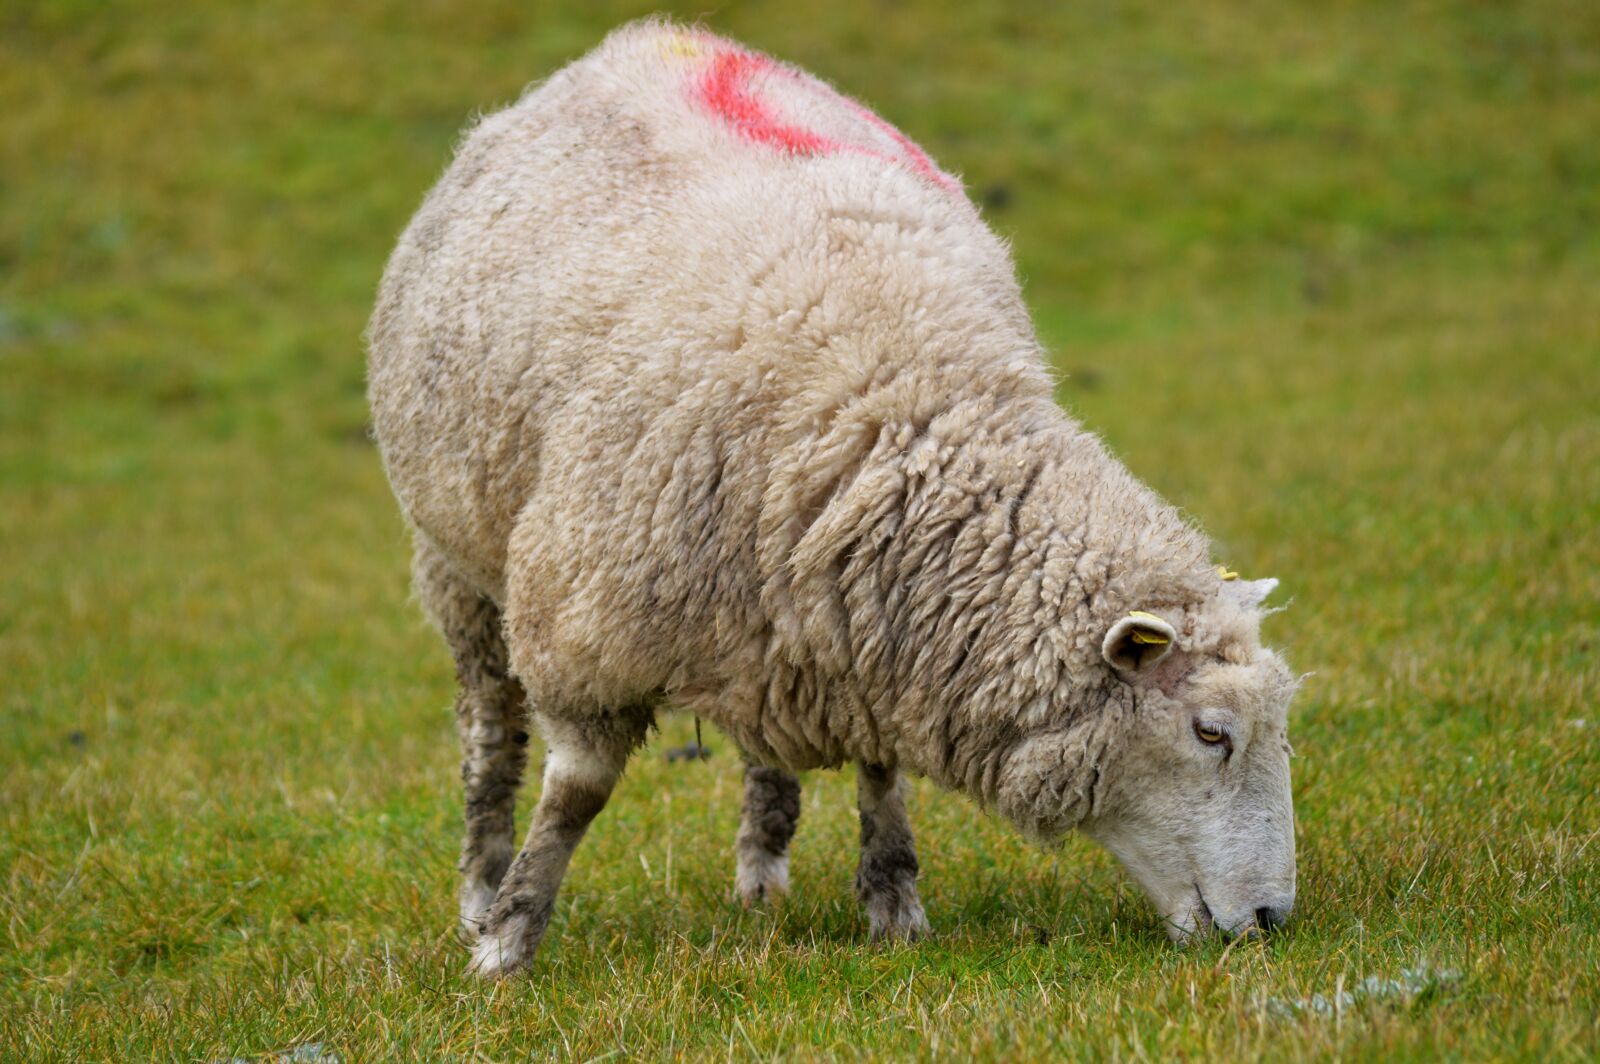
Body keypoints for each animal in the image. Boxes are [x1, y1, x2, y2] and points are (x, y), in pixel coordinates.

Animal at [367, 19, 1300, 978]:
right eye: (1211, 732)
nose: (1273, 919)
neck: (902, 399)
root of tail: (652, 36)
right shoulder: (583, 627)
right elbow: (574, 797)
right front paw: (508, 941)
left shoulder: (872, 628)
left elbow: (881, 773)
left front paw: (893, 905)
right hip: (454, 561)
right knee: (490, 731)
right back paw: (481, 886)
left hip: (767, 619)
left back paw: (761, 877)